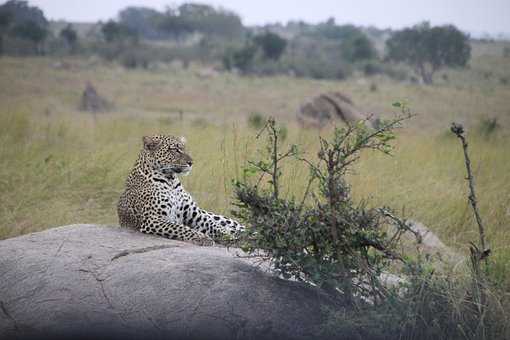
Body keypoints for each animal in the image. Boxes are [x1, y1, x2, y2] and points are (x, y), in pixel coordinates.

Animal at [117, 134, 245, 246]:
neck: (171, 181)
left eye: (183, 149)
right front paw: (202, 238)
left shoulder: (197, 216)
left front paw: (231, 238)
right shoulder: (153, 219)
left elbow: (215, 226)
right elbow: (181, 228)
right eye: (175, 150)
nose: (191, 162)